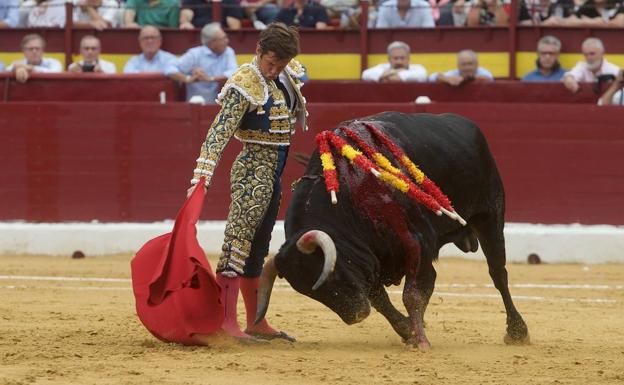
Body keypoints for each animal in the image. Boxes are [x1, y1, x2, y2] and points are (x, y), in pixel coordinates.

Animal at [256, 111, 528, 348]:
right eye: (309, 293)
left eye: (330, 274)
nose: (356, 315)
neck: (349, 195)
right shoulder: (370, 262)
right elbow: (381, 300)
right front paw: (408, 330)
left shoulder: (416, 243)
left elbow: (412, 294)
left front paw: (419, 340)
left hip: (490, 213)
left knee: (498, 272)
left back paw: (517, 330)